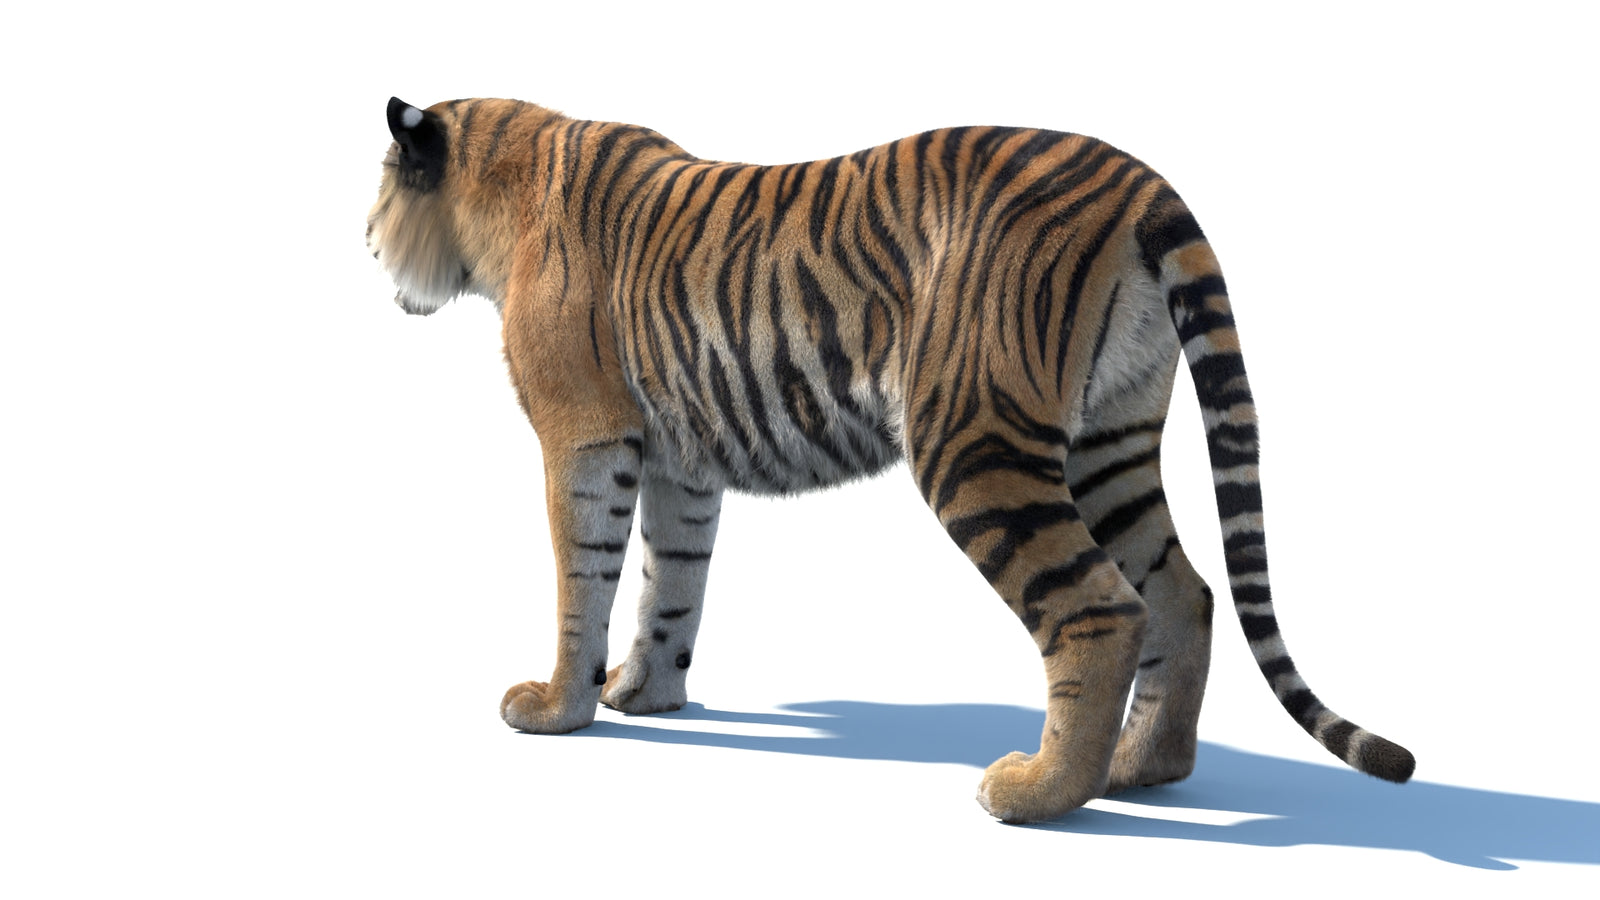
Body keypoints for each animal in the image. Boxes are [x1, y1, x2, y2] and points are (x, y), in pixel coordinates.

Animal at [366, 95, 1414, 823]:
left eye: (379, 192)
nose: (368, 246)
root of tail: (1141, 182)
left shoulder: (583, 434)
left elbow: (582, 577)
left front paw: (556, 705)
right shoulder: (681, 460)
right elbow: (674, 583)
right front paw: (647, 696)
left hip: (975, 440)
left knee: (1101, 606)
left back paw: (1040, 794)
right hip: (1107, 444)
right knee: (1183, 593)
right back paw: (1139, 770)